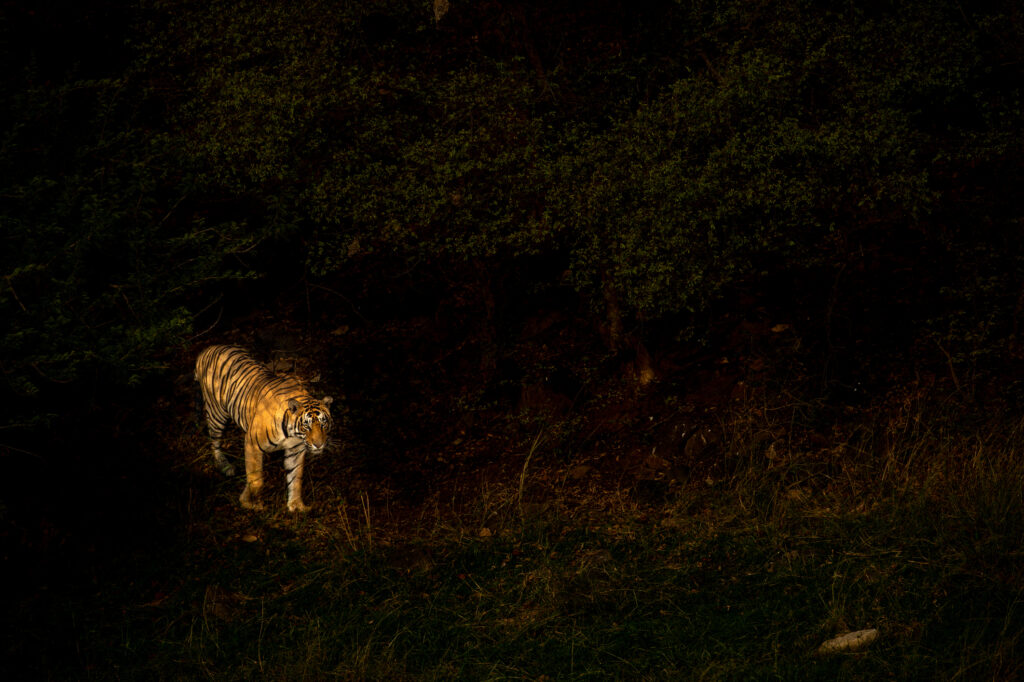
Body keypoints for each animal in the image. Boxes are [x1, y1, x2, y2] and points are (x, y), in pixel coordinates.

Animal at [195, 344, 334, 512]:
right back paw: (224, 465)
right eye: (306, 425)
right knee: (214, 442)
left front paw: (296, 505)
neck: (292, 434)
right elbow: (256, 479)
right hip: (217, 414)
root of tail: (207, 350)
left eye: (323, 423)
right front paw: (249, 503)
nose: (319, 445)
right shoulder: (252, 444)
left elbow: (295, 478)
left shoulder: (296, 450)